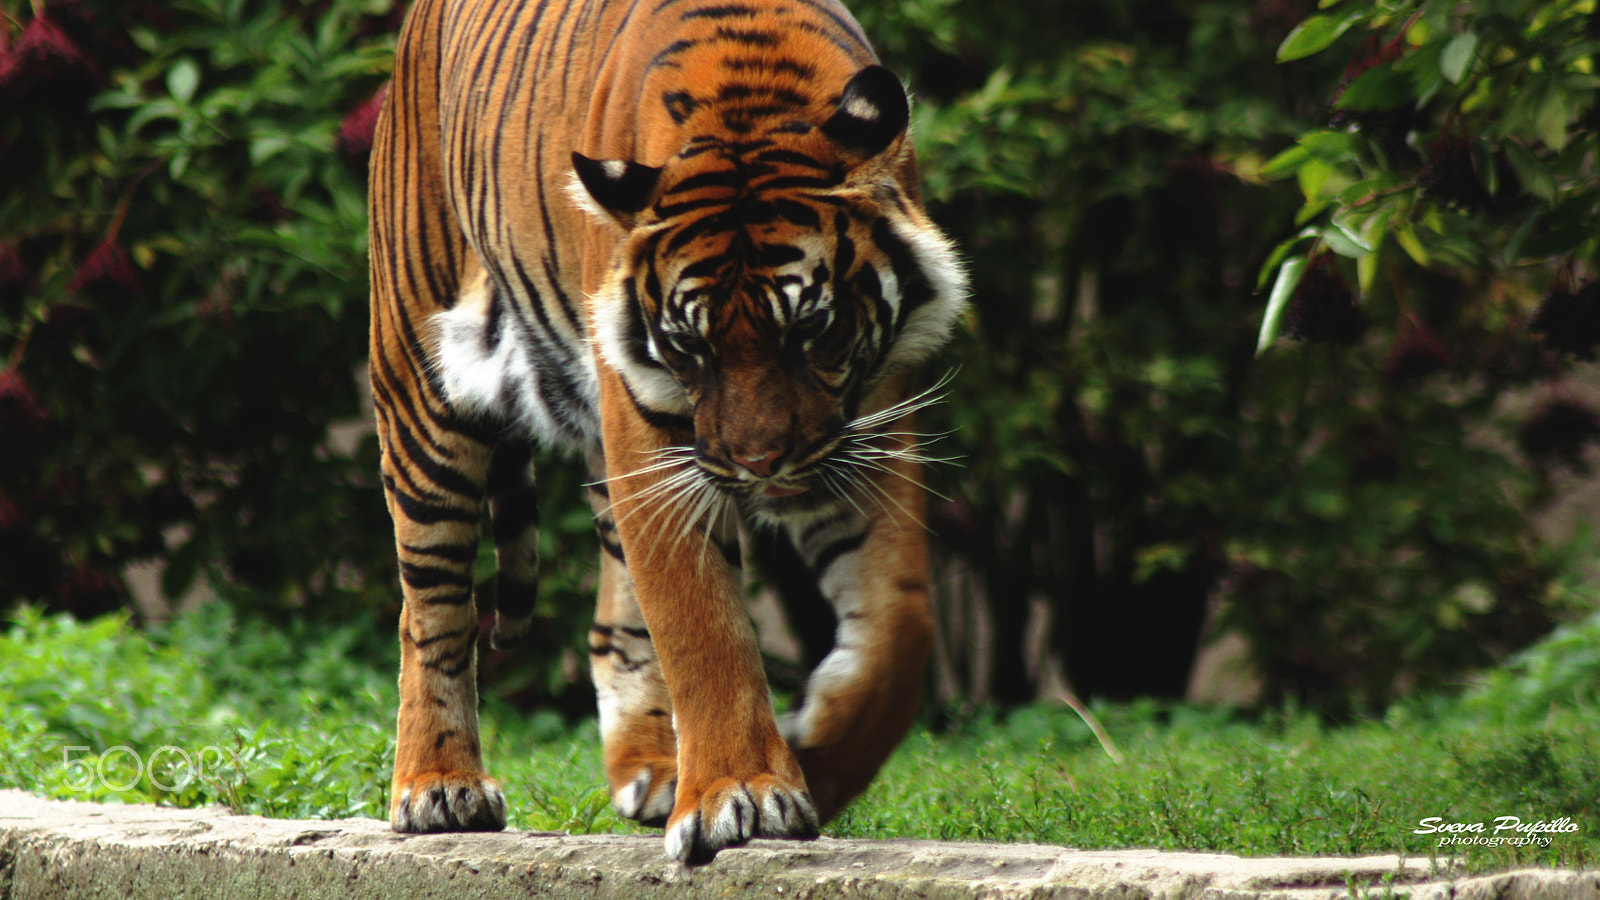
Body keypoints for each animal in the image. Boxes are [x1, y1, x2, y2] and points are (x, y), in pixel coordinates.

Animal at [367, 0, 966, 863]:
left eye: (812, 328)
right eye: (690, 345)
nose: (759, 465)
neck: (747, 94)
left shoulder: (865, 423)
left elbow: (899, 621)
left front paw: (819, 759)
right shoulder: (650, 432)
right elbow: (701, 622)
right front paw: (737, 792)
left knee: (611, 618)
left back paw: (652, 767)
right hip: (419, 381)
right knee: (431, 606)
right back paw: (438, 786)